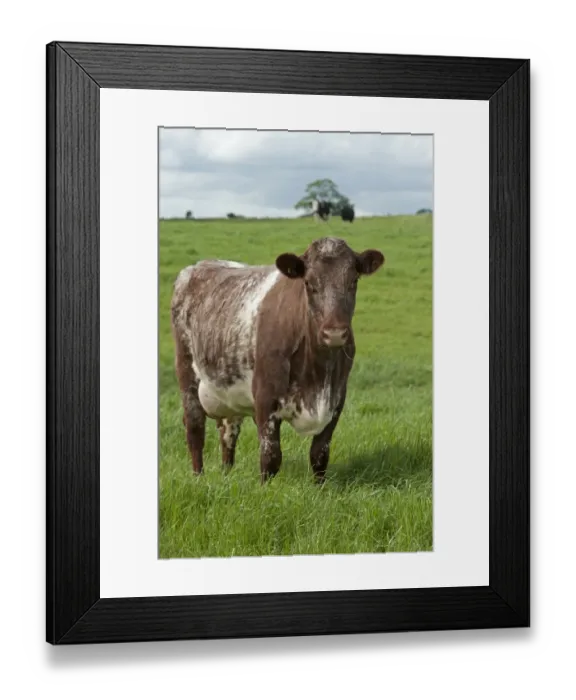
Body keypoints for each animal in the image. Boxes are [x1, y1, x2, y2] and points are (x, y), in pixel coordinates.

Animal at [170, 236, 385, 485]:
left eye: (353, 280)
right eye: (309, 283)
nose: (334, 333)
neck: (318, 372)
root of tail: (199, 266)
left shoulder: (336, 399)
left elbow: (319, 454)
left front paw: (319, 489)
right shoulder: (265, 399)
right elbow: (270, 456)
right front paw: (265, 489)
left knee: (228, 432)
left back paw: (227, 473)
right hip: (187, 373)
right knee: (195, 429)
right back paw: (198, 478)